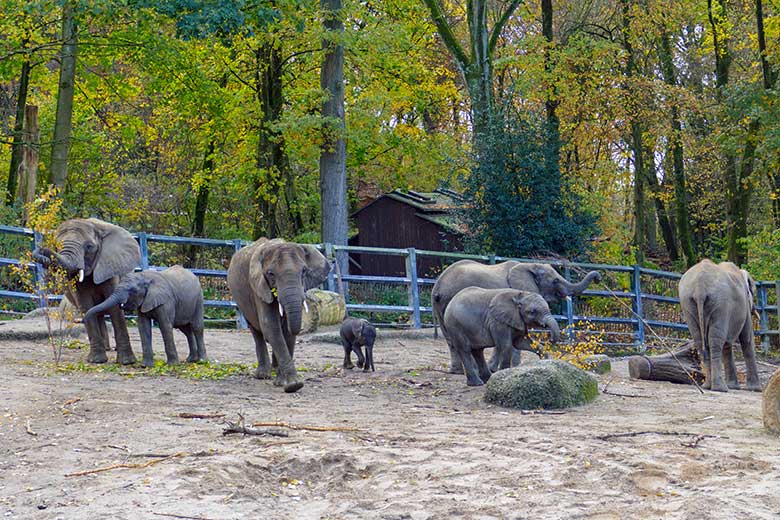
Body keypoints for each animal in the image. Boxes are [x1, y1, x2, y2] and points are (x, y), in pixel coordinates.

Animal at [31, 217, 142, 364]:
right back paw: (105, 349)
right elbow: (86, 305)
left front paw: (126, 362)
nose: (43, 252)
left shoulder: (109, 265)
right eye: (57, 245)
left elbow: (114, 307)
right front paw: (96, 361)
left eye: (89, 246)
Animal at [229, 240, 332, 394]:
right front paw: (293, 385)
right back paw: (263, 375)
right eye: (271, 274)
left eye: (304, 271)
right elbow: (270, 326)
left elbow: (286, 331)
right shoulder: (259, 288)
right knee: (256, 331)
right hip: (242, 303)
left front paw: (284, 383)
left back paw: (274, 371)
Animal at [430, 258, 600, 372]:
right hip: (450, 300)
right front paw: (509, 367)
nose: (598, 278)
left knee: (450, 338)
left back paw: (457, 371)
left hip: (440, 307)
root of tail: (438, 286)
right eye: (555, 281)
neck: (529, 265)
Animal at [676, 258, 760, 392]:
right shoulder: (745, 308)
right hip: (720, 304)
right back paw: (720, 388)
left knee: (700, 341)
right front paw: (756, 389)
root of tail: (700, 286)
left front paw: (734, 387)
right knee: (715, 341)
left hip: (687, 303)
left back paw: (707, 386)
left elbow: (728, 344)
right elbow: (746, 339)